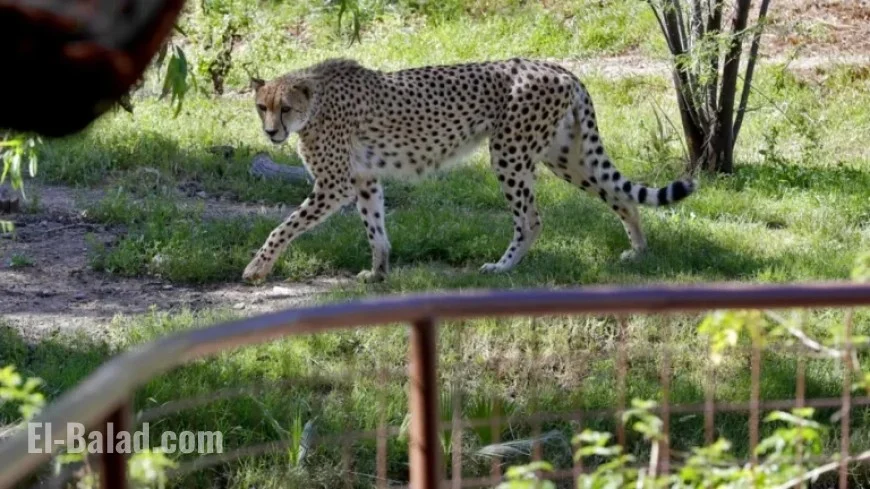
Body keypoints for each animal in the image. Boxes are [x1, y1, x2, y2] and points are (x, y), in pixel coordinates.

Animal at [243, 58, 696, 283]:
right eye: (262, 107)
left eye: (286, 108)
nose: (270, 132)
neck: (315, 102)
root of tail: (557, 67)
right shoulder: (364, 178)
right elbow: (375, 228)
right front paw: (379, 271)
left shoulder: (334, 184)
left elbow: (283, 227)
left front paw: (256, 270)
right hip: (565, 155)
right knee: (620, 195)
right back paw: (638, 251)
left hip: (510, 153)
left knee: (531, 218)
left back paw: (503, 267)